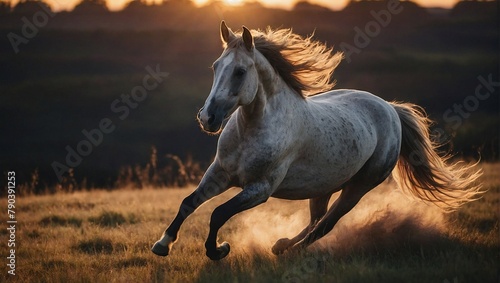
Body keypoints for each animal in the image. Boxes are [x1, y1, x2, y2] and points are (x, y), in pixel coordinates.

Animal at [151, 21, 480, 262]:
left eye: (240, 71)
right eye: (216, 66)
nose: (208, 118)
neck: (252, 129)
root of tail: (390, 108)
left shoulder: (260, 189)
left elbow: (218, 212)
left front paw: (218, 250)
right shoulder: (220, 173)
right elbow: (189, 202)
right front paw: (162, 245)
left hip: (359, 187)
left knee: (326, 225)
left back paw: (289, 251)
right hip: (324, 186)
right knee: (317, 220)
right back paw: (281, 245)